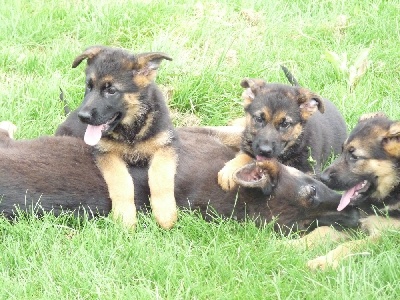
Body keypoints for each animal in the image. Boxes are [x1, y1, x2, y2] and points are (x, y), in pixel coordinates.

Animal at [70, 45, 178, 229]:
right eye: (89, 86)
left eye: (111, 90)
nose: (82, 117)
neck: (130, 131)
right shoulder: (106, 153)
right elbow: (122, 181)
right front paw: (125, 217)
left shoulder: (165, 145)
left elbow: (160, 176)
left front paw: (165, 213)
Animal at [217, 77, 346, 190]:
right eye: (259, 119)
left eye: (285, 124)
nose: (264, 151)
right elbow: (245, 155)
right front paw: (230, 170)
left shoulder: (311, 173)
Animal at [290, 112, 400, 270]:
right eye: (342, 151)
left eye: (354, 156)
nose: (322, 178)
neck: (392, 189)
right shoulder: (354, 224)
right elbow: (322, 230)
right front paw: (291, 244)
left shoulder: (385, 236)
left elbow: (350, 246)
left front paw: (324, 261)